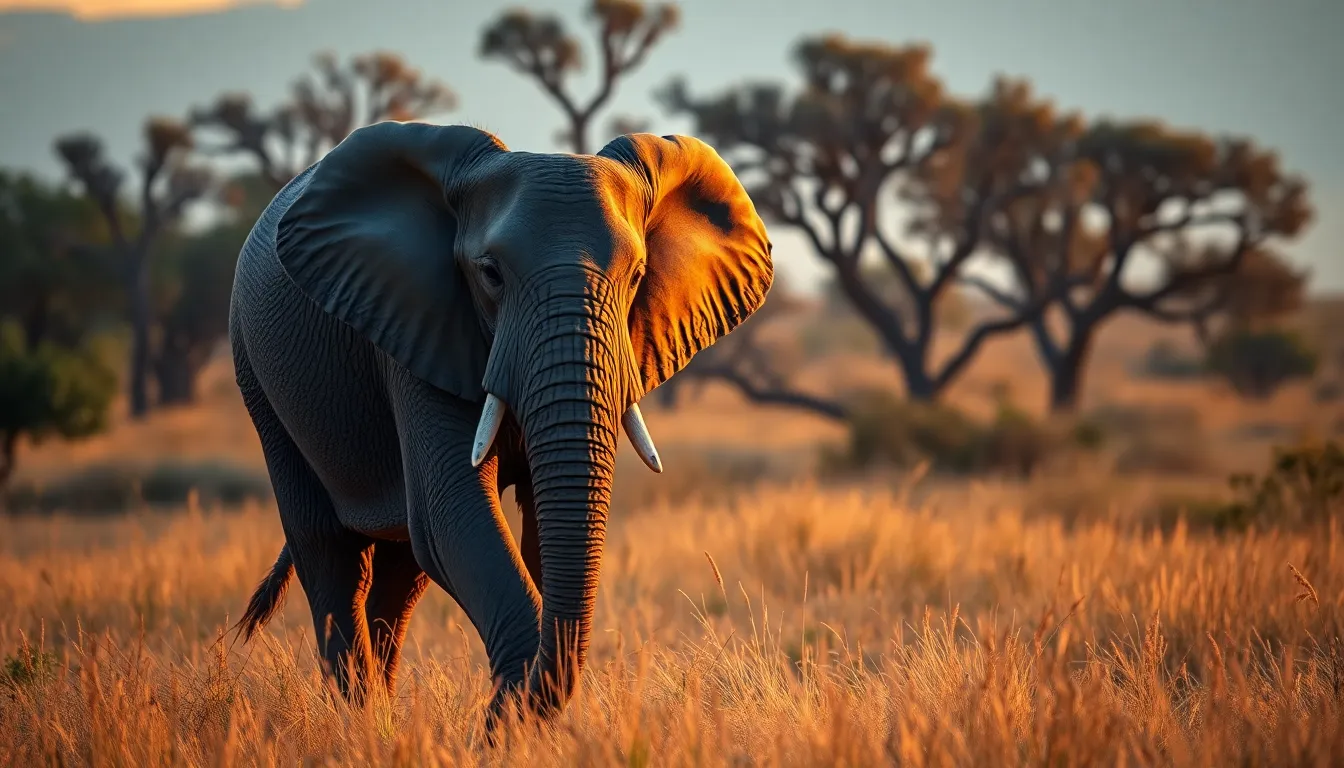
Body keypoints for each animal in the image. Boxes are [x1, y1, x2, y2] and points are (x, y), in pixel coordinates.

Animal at [227, 120, 773, 721]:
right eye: (490, 275)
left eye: (637, 276)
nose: (482, 723)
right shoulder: (420, 329)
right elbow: (454, 514)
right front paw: (506, 720)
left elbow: (538, 527)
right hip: (255, 370)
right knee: (331, 553)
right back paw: (360, 722)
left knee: (401, 569)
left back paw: (384, 723)